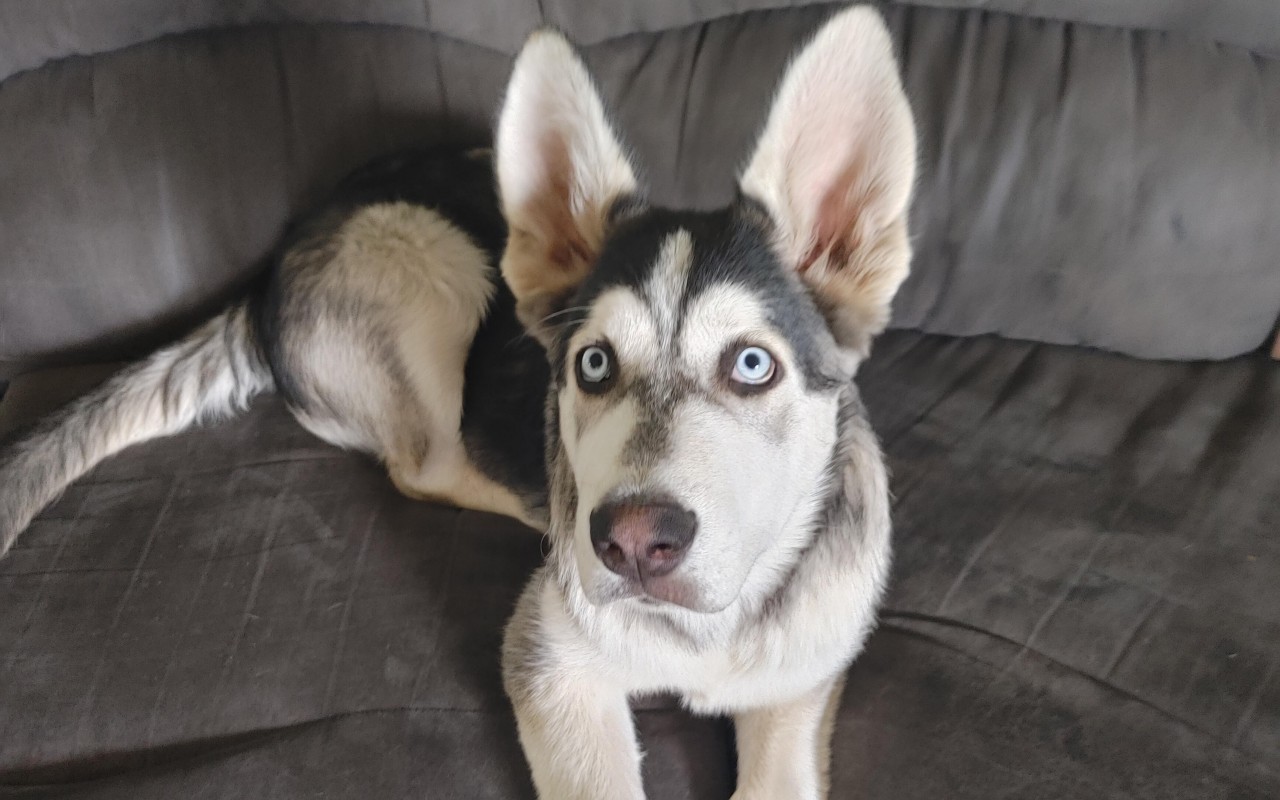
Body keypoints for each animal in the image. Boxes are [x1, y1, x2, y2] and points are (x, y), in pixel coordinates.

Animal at [2, 7, 921, 798]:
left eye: (753, 365)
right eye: (592, 364)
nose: (626, 545)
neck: (703, 632)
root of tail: (266, 277)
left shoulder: (804, 676)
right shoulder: (549, 661)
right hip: (424, 259)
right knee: (427, 464)